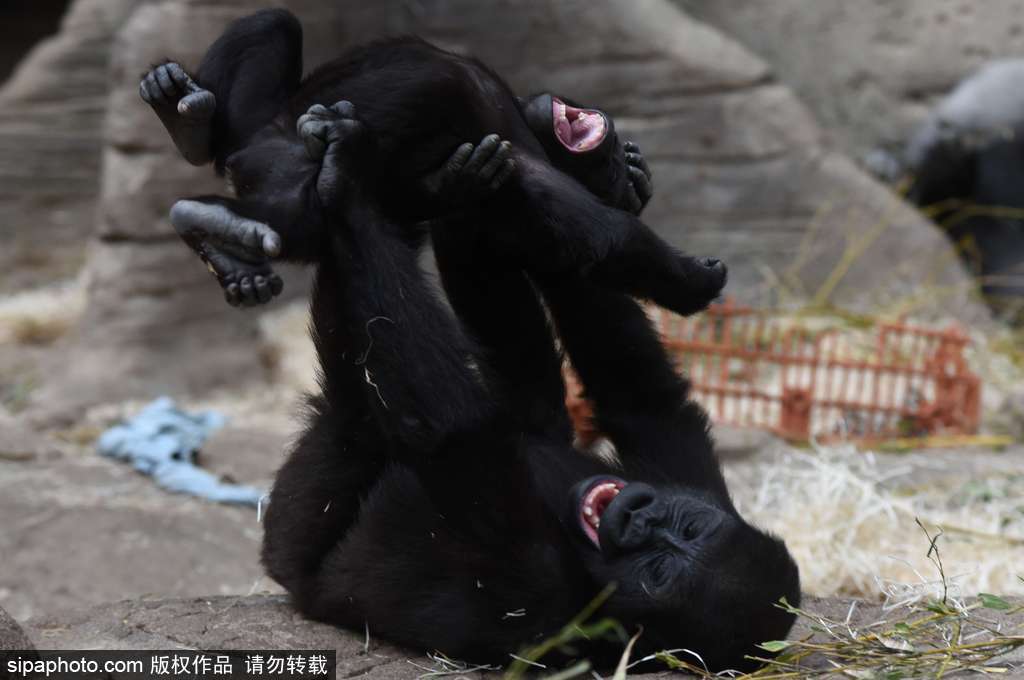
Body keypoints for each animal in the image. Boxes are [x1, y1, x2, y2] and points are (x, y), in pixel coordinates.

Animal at [142, 9, 798, 667]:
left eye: (664, 568)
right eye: (621, 158)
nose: (621, 155)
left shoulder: (513, 159)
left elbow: (586, 232)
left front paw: (680, 276)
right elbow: (596, 249)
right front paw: (683, 270)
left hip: (283, 188)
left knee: (299, 207)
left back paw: (228, 216)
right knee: (272, 34)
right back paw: (192, 130)